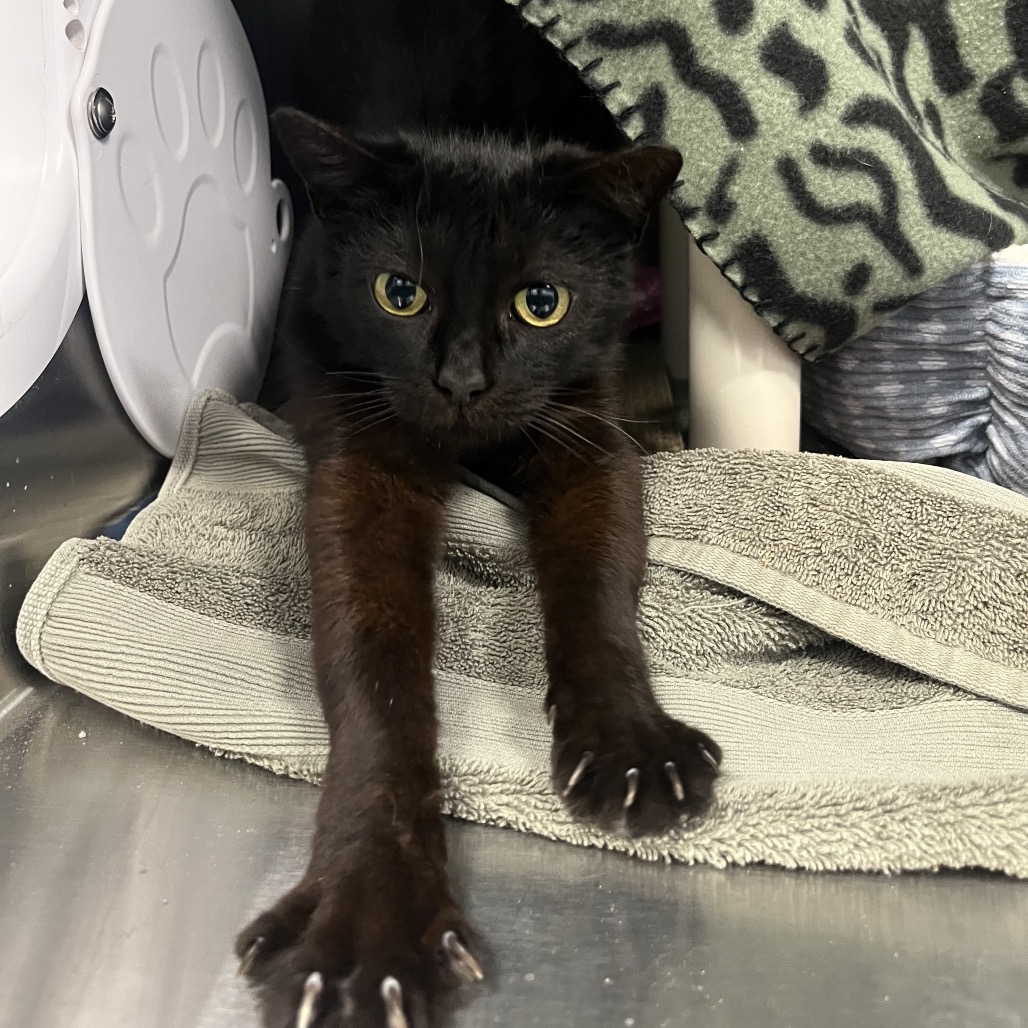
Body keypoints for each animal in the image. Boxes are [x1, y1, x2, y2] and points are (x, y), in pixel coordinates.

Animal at [235, 1, 722, 1025]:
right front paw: (366, 926)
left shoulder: (588, 440)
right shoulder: (362, 468)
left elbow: (595, 594)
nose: (461, 381)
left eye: (542, 303)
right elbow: (374, 672)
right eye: (399, 293)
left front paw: (632, 749)